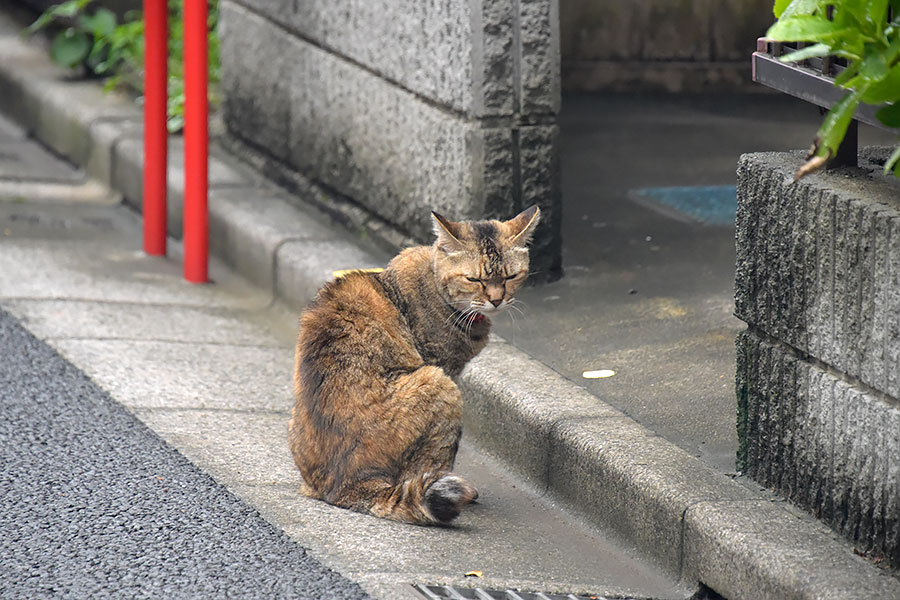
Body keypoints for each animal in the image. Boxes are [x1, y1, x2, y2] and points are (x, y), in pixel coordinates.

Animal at [292, 205, 536, 524]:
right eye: (474, 280)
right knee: (427, 467)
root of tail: (345, 487)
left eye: (510, 276)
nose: (496, 300)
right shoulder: (444, 365)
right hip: (440, 384)